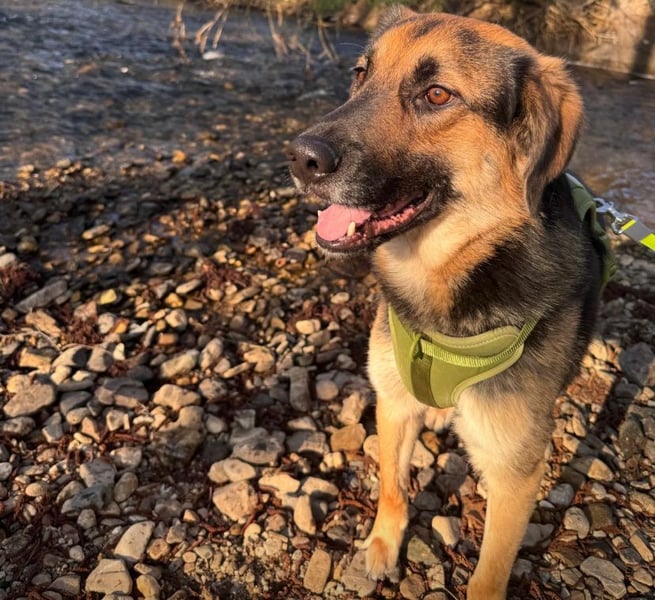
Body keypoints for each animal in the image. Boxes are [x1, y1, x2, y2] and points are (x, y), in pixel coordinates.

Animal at [288, 6, 609, 599]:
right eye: (360, 74)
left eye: (437, 95)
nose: (299, 158)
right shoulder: (392, 401)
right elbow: (393, 484)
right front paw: (384, 545)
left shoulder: (514, 472)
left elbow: (490, 572)